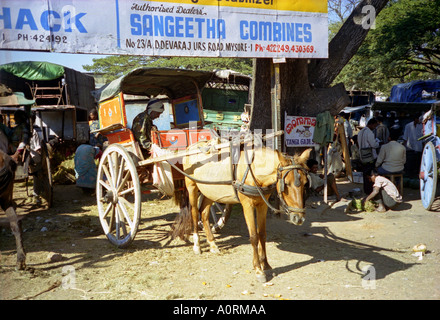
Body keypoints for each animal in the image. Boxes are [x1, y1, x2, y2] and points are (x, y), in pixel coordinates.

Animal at [174, 140, 312, 282]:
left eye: (305, 183)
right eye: (287, 183)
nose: (299, 218)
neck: (254, 171)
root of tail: (192, 147)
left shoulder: (262, 204)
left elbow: (262, 234)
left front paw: (265, 264)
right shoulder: (248, 205)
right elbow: (254, 236)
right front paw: (258, 270)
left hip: (210, 191)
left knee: (204, 213)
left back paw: (212, 244)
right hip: (192, 187)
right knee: (195, 213)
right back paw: (197, 245)